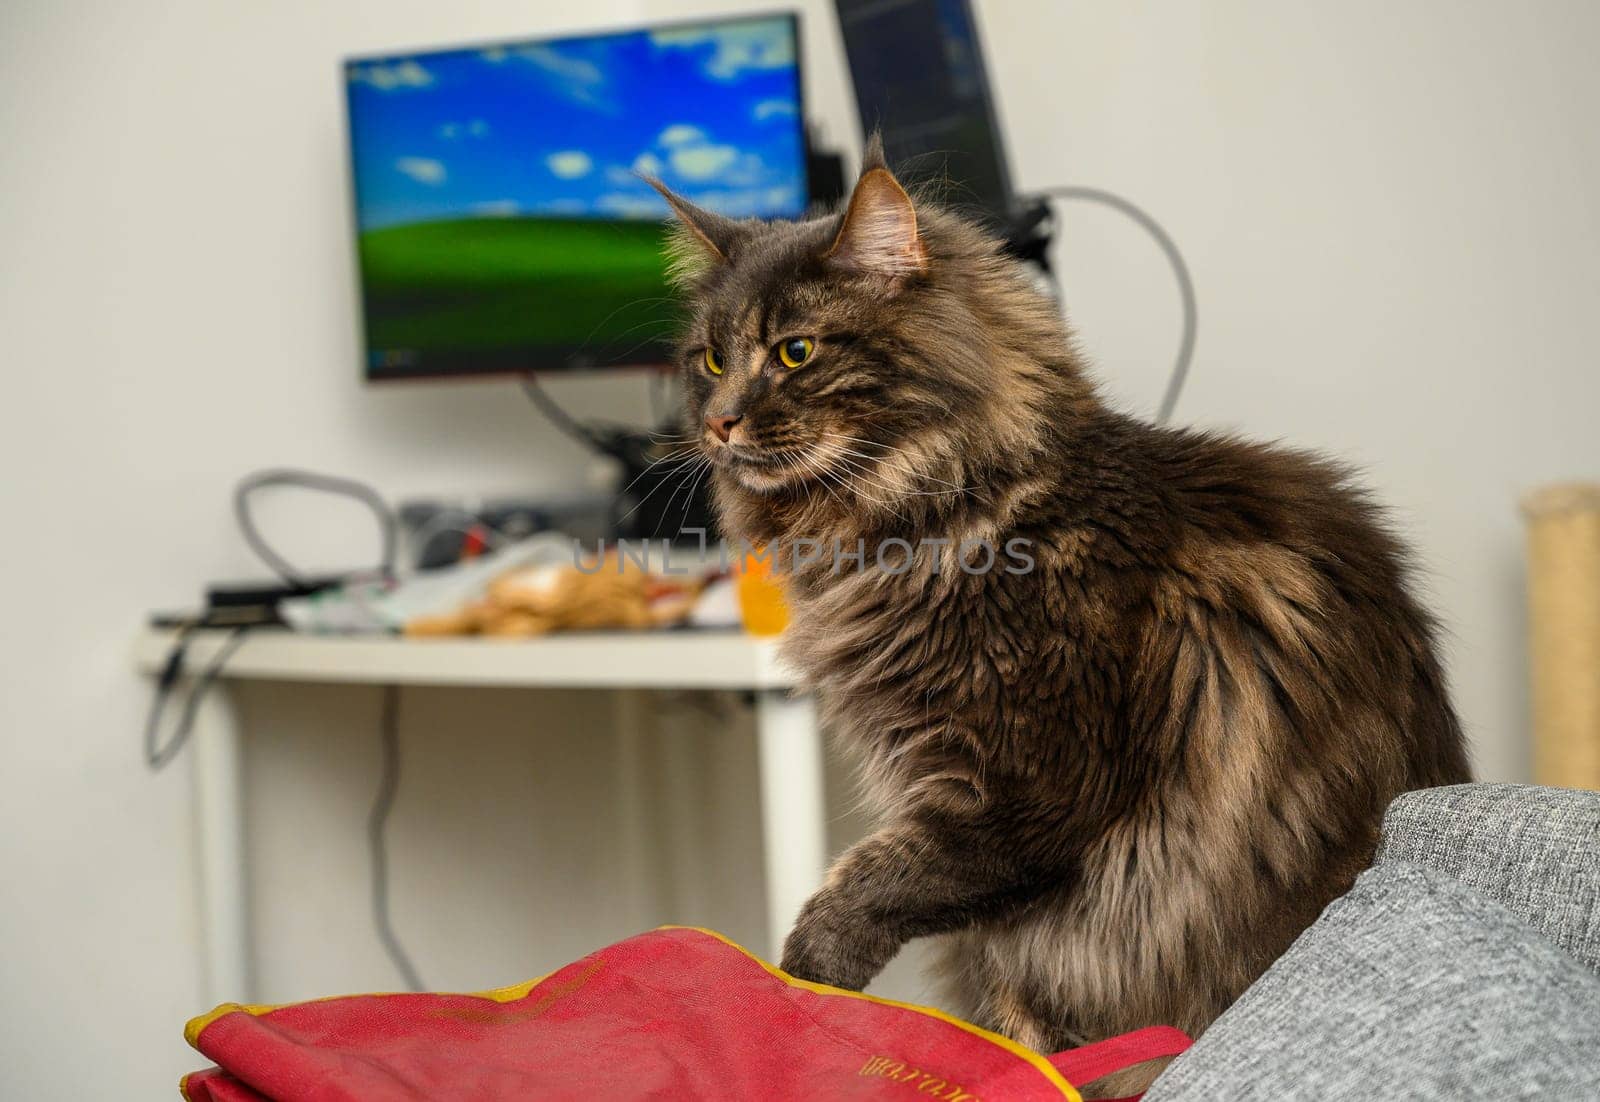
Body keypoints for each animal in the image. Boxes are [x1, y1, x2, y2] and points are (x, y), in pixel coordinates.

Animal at [646, 146, 1465, 1094]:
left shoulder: (1029, 788)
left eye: (795, 351)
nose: (717, 423)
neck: (948, 515)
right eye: (711, 359)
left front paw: (800, 979)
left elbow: (876, 881)